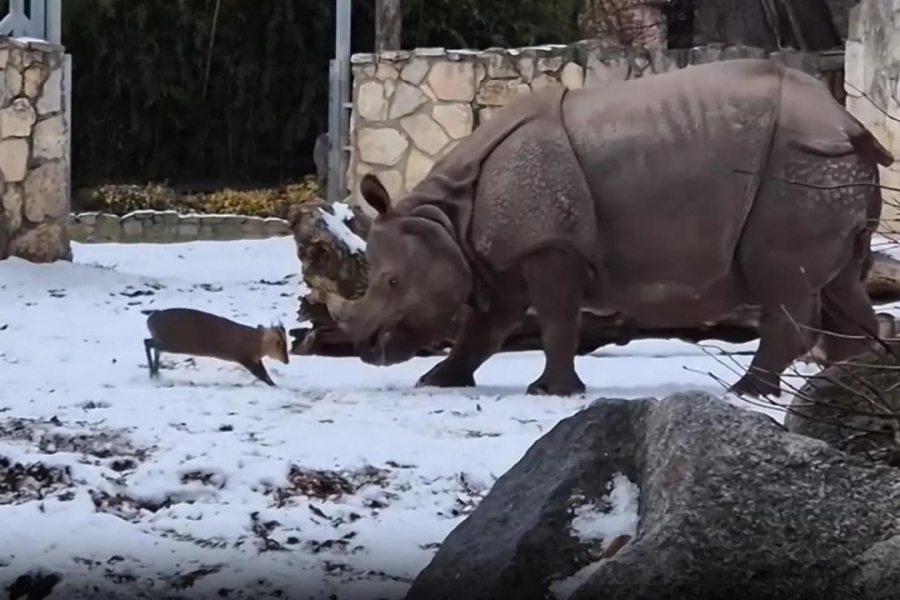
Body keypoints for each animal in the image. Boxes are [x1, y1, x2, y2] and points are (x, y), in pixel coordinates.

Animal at [326, 58, 894, 398]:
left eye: (392, 282)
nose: (367, 349)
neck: (447, 217)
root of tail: (846, 120)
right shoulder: (499, 259)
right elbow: (483, 329)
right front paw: (437, 381)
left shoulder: (551, 245)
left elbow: (557, 321)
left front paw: (550, 393)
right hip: (828, 170)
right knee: (844, 283)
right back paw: (851, 383)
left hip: (800, 168)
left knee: (783, 282)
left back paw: (749, 392)